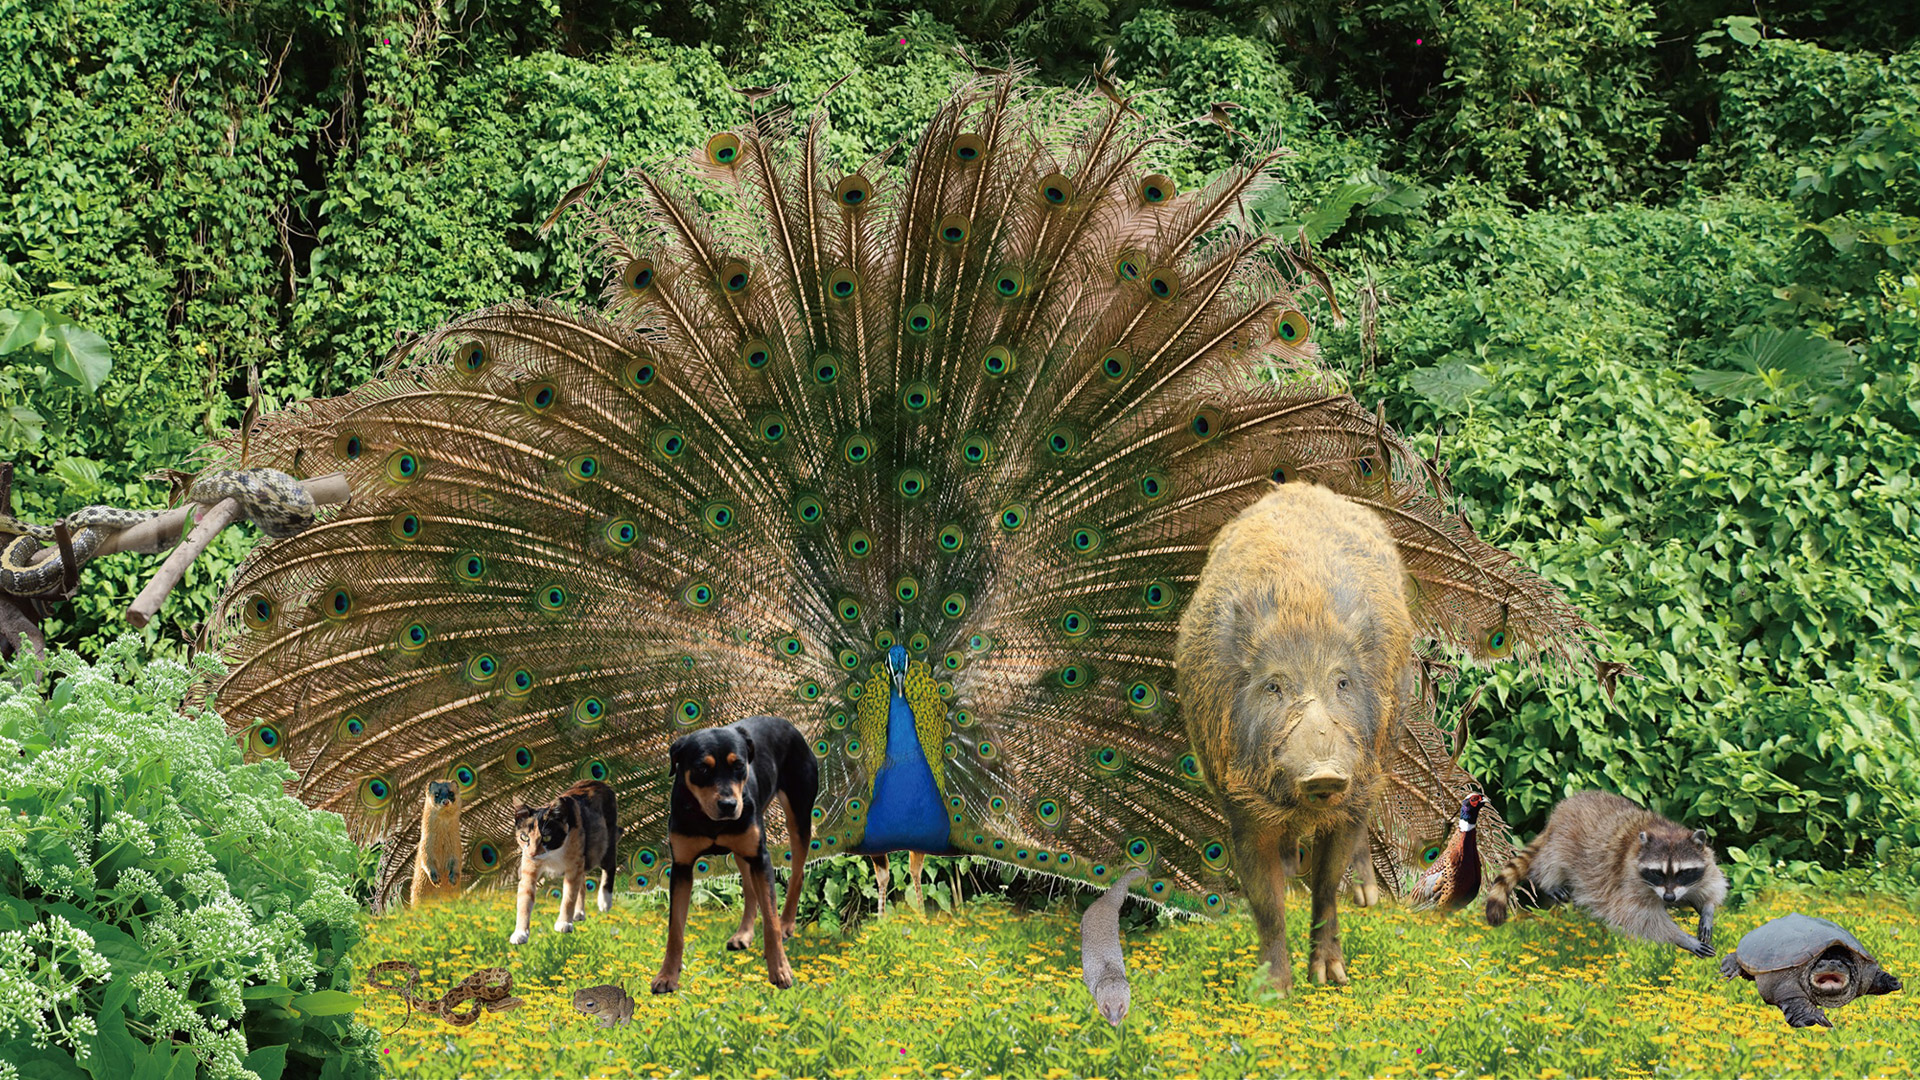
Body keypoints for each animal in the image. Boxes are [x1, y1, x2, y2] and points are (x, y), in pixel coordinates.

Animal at [506, 772, 618, 941]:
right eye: (524, 837)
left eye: (546, 837)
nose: (533, 853)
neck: (552, 855)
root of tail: (599, 782)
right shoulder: (528, 864)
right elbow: (524, 898)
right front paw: (520, 933)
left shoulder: (574, 862)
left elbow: (569, 895)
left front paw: (564, 923)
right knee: (582, 880)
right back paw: (579, 913)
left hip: (604, 841)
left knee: (609, 864)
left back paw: (604, 901)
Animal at [652, 714, 817, 991]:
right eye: (702, 768)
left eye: (739, 765)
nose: (729, 805)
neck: (711, 822)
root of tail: (786, 723)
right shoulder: (682, 866)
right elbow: (675, 929)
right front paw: (667, 975)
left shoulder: (761, 857)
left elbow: (770, 920)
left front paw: (780, 969)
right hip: (741, 849)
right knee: (750, 890)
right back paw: (744, 934)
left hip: (798, 816)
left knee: (796, 874)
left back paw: (786, 923)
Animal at [1482, 787, 1728, 953]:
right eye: (1657, 872)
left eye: (1682, 872)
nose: (1669, 898)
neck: (1665, 831)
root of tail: (1562, 808)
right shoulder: (1628, 881)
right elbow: (1641, 918)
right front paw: (1681, 937)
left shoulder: (1700, 867)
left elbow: (1712, 884)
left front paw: (1707, 909)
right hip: (1564, 837)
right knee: (1552, 858)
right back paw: (1548, 881)